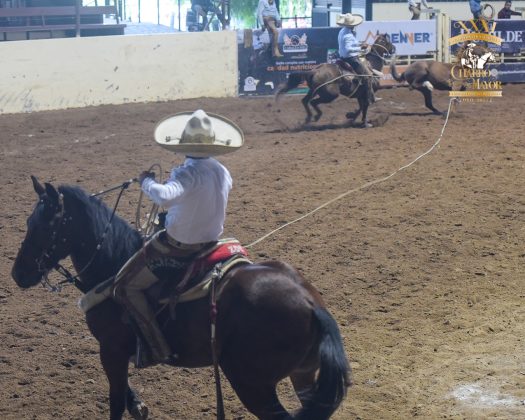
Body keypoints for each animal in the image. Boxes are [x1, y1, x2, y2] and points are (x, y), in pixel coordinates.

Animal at [10, 177, 350, 420]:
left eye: (44, 225)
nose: (18, 274)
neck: (113, 262)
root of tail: (311, 304)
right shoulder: (114, 350)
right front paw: (139, 406)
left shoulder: (110, 348)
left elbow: (115, 399)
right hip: (302, 375)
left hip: (253, 385)